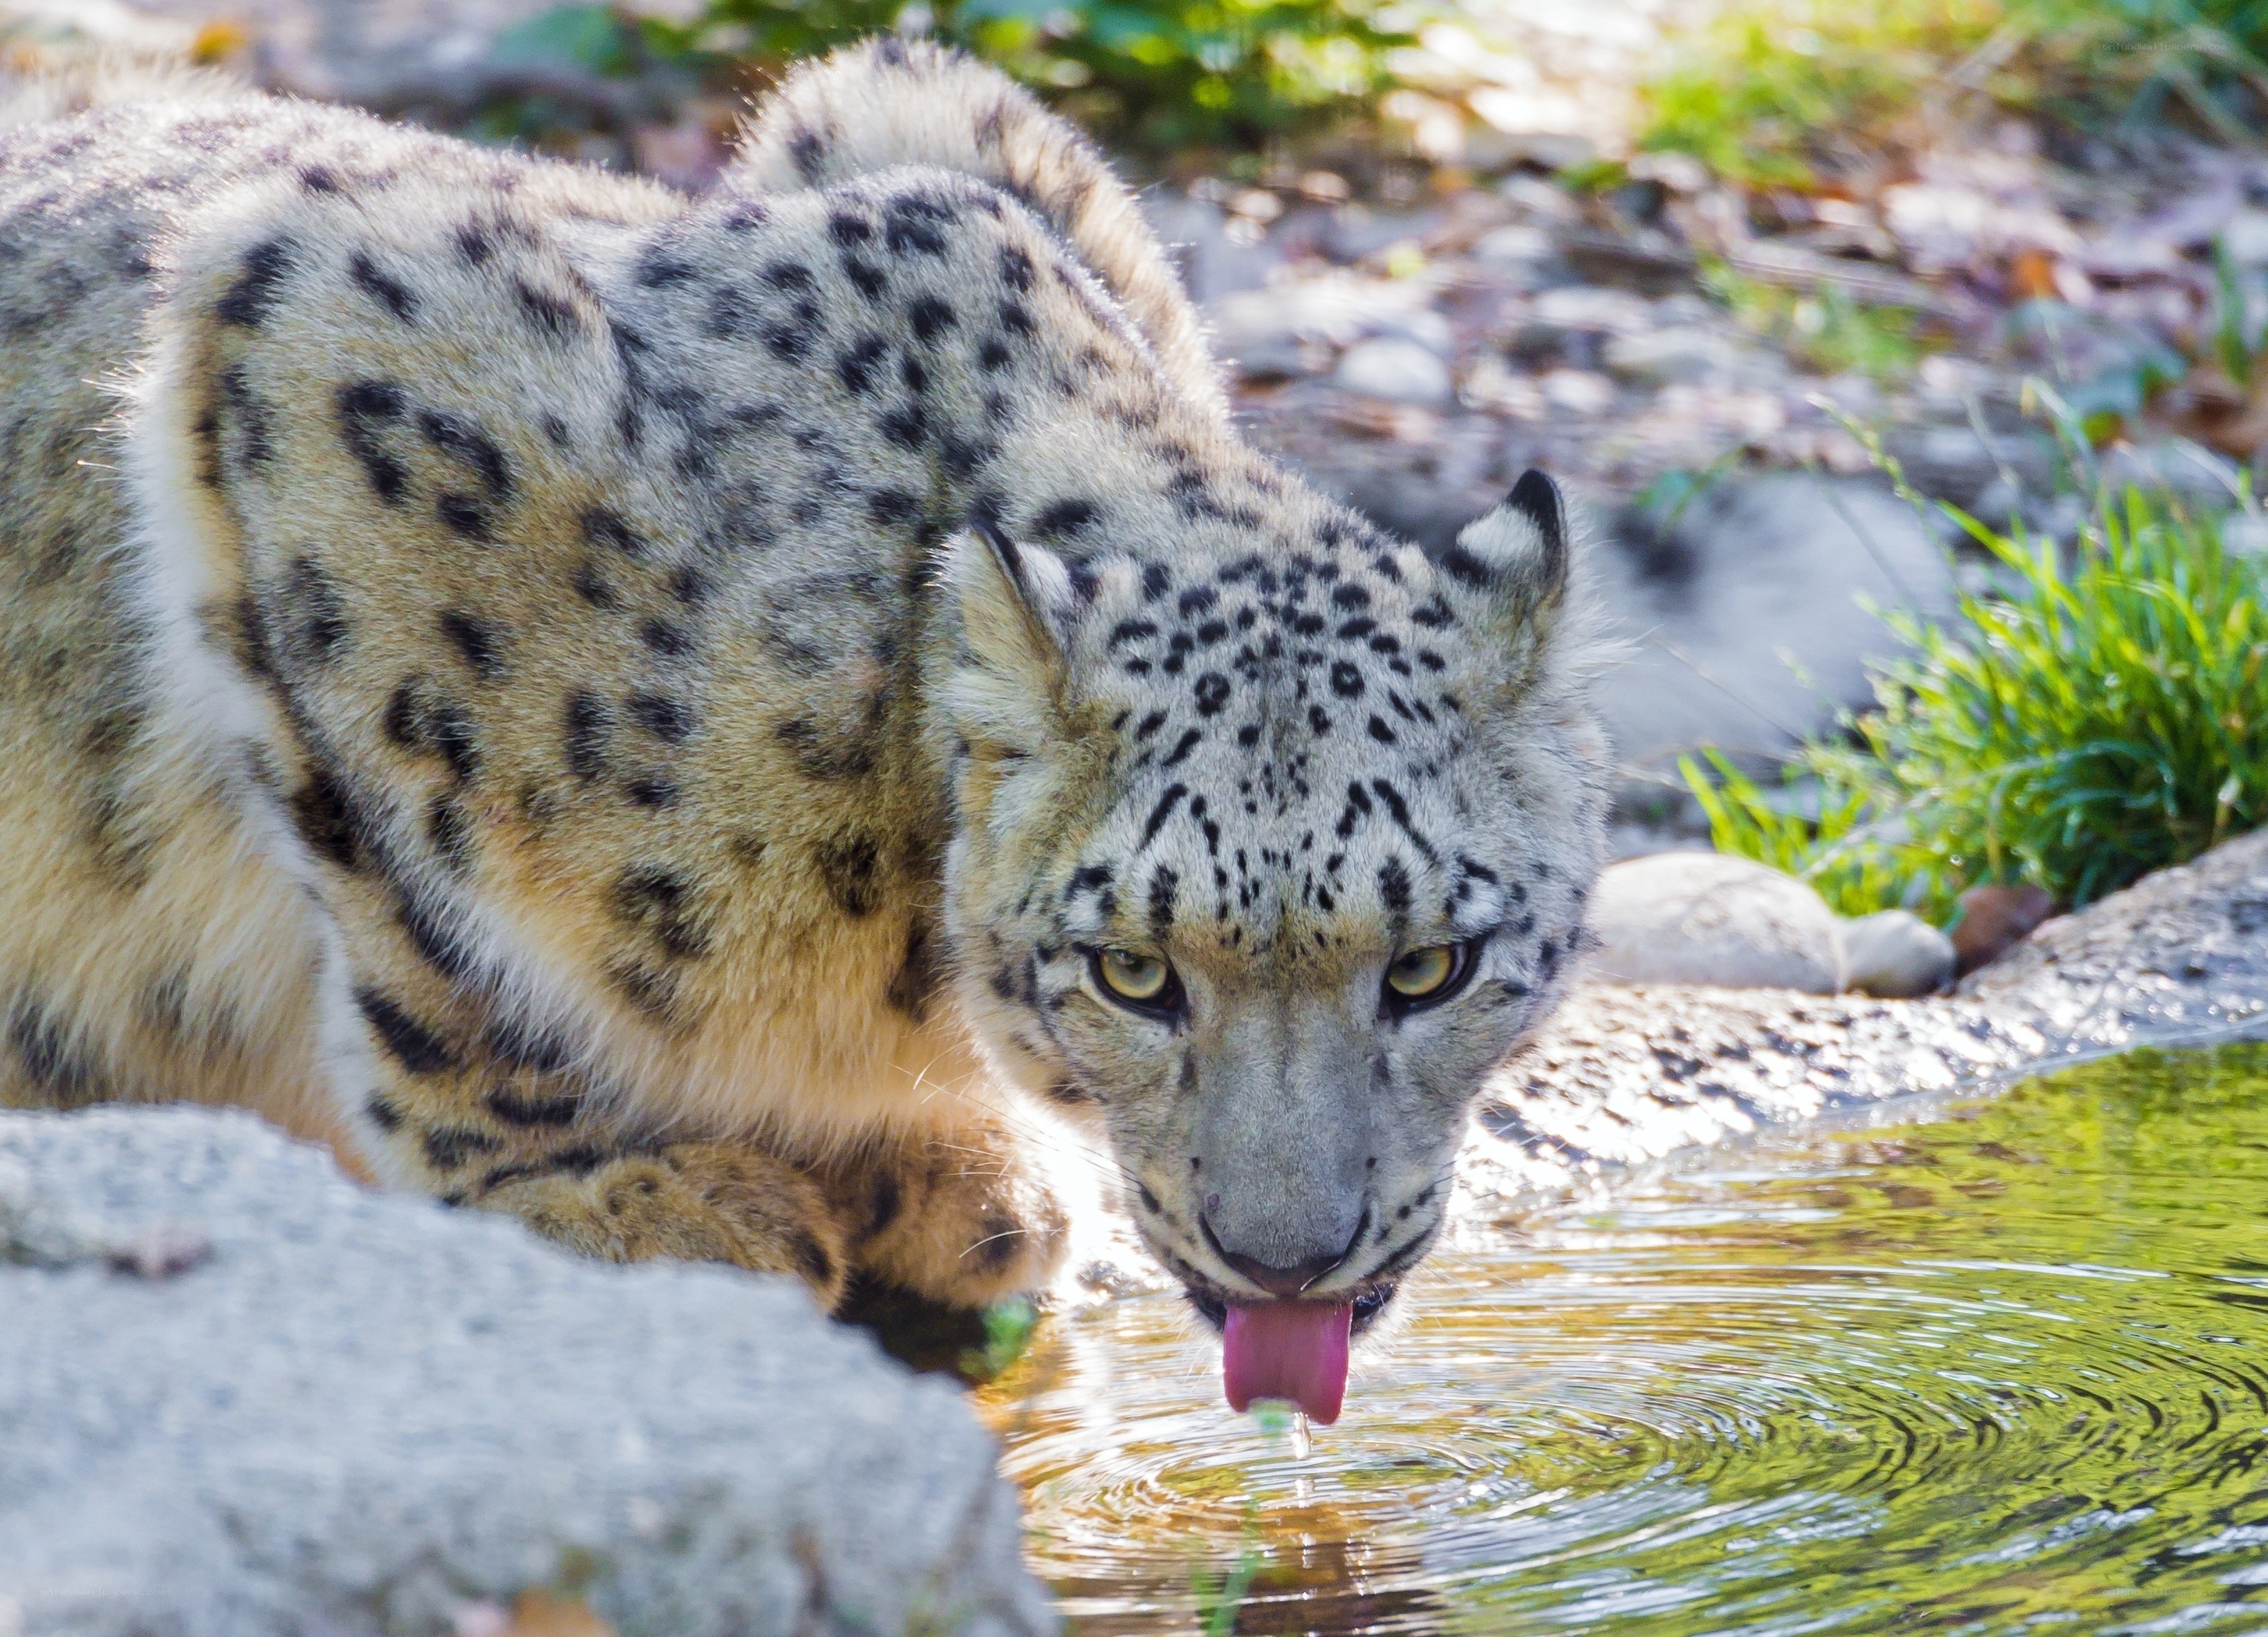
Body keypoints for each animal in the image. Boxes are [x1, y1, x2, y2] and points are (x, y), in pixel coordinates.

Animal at [0, 36, 1608, 1343]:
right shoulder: (316, 329)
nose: (1287, 1258)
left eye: (1432, 964)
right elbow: (422, 920)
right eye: (1131, 972)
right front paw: (596, 1189)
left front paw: (948, 1166)